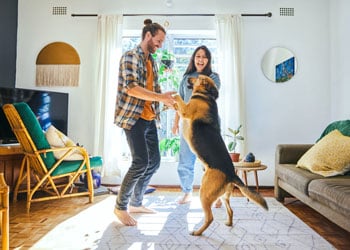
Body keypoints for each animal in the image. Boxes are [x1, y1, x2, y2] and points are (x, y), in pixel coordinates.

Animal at [172, 74, 268, 236]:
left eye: (197, 77)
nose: (187, 77)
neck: (206, 95)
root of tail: (232, 174)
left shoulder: (186, 110)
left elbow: (179, 99)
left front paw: (172, 94)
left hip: (204, 193)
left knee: (209, 217)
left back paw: (197, 232)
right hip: (224, 196)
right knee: (231, 210)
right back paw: (228, 223)